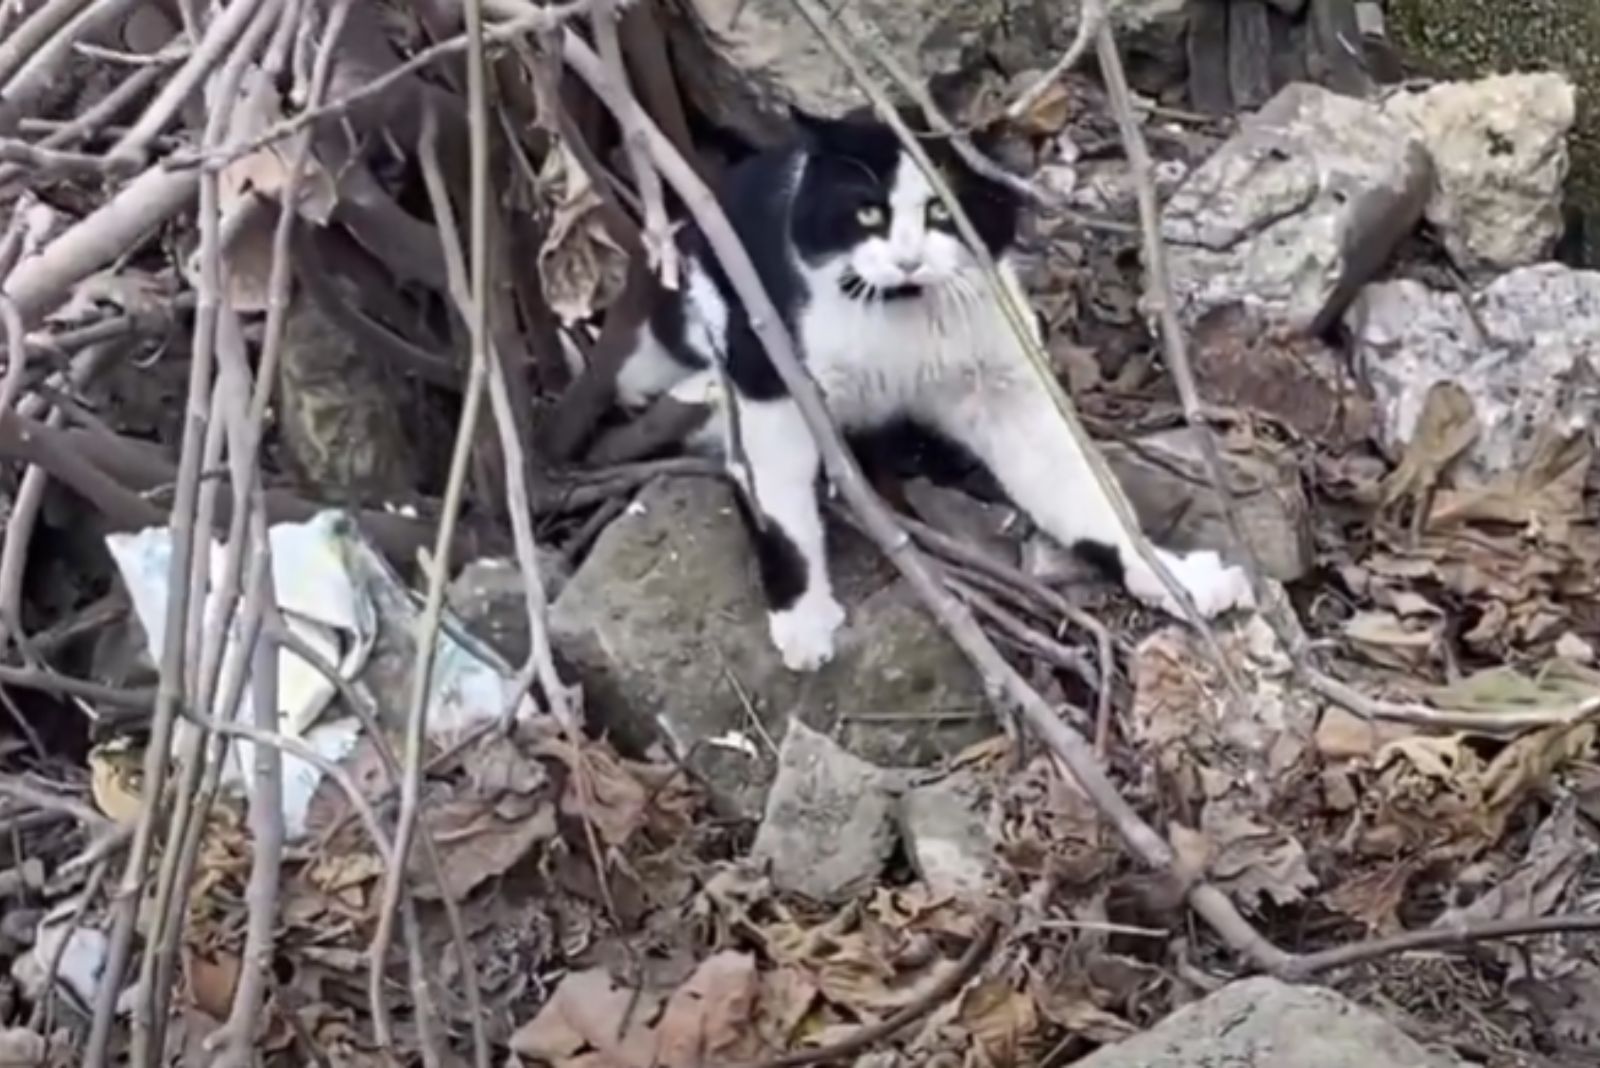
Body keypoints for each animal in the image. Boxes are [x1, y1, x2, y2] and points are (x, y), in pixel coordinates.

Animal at [611, 112, 1248, 671]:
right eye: (868, 212)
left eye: (942, 208)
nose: (908, 259)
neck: (903, 320)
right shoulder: (771, 373)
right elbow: (780, 502)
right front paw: (805, 621)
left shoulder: (1004, 381)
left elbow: (1079, 491)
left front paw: (1174, 577)